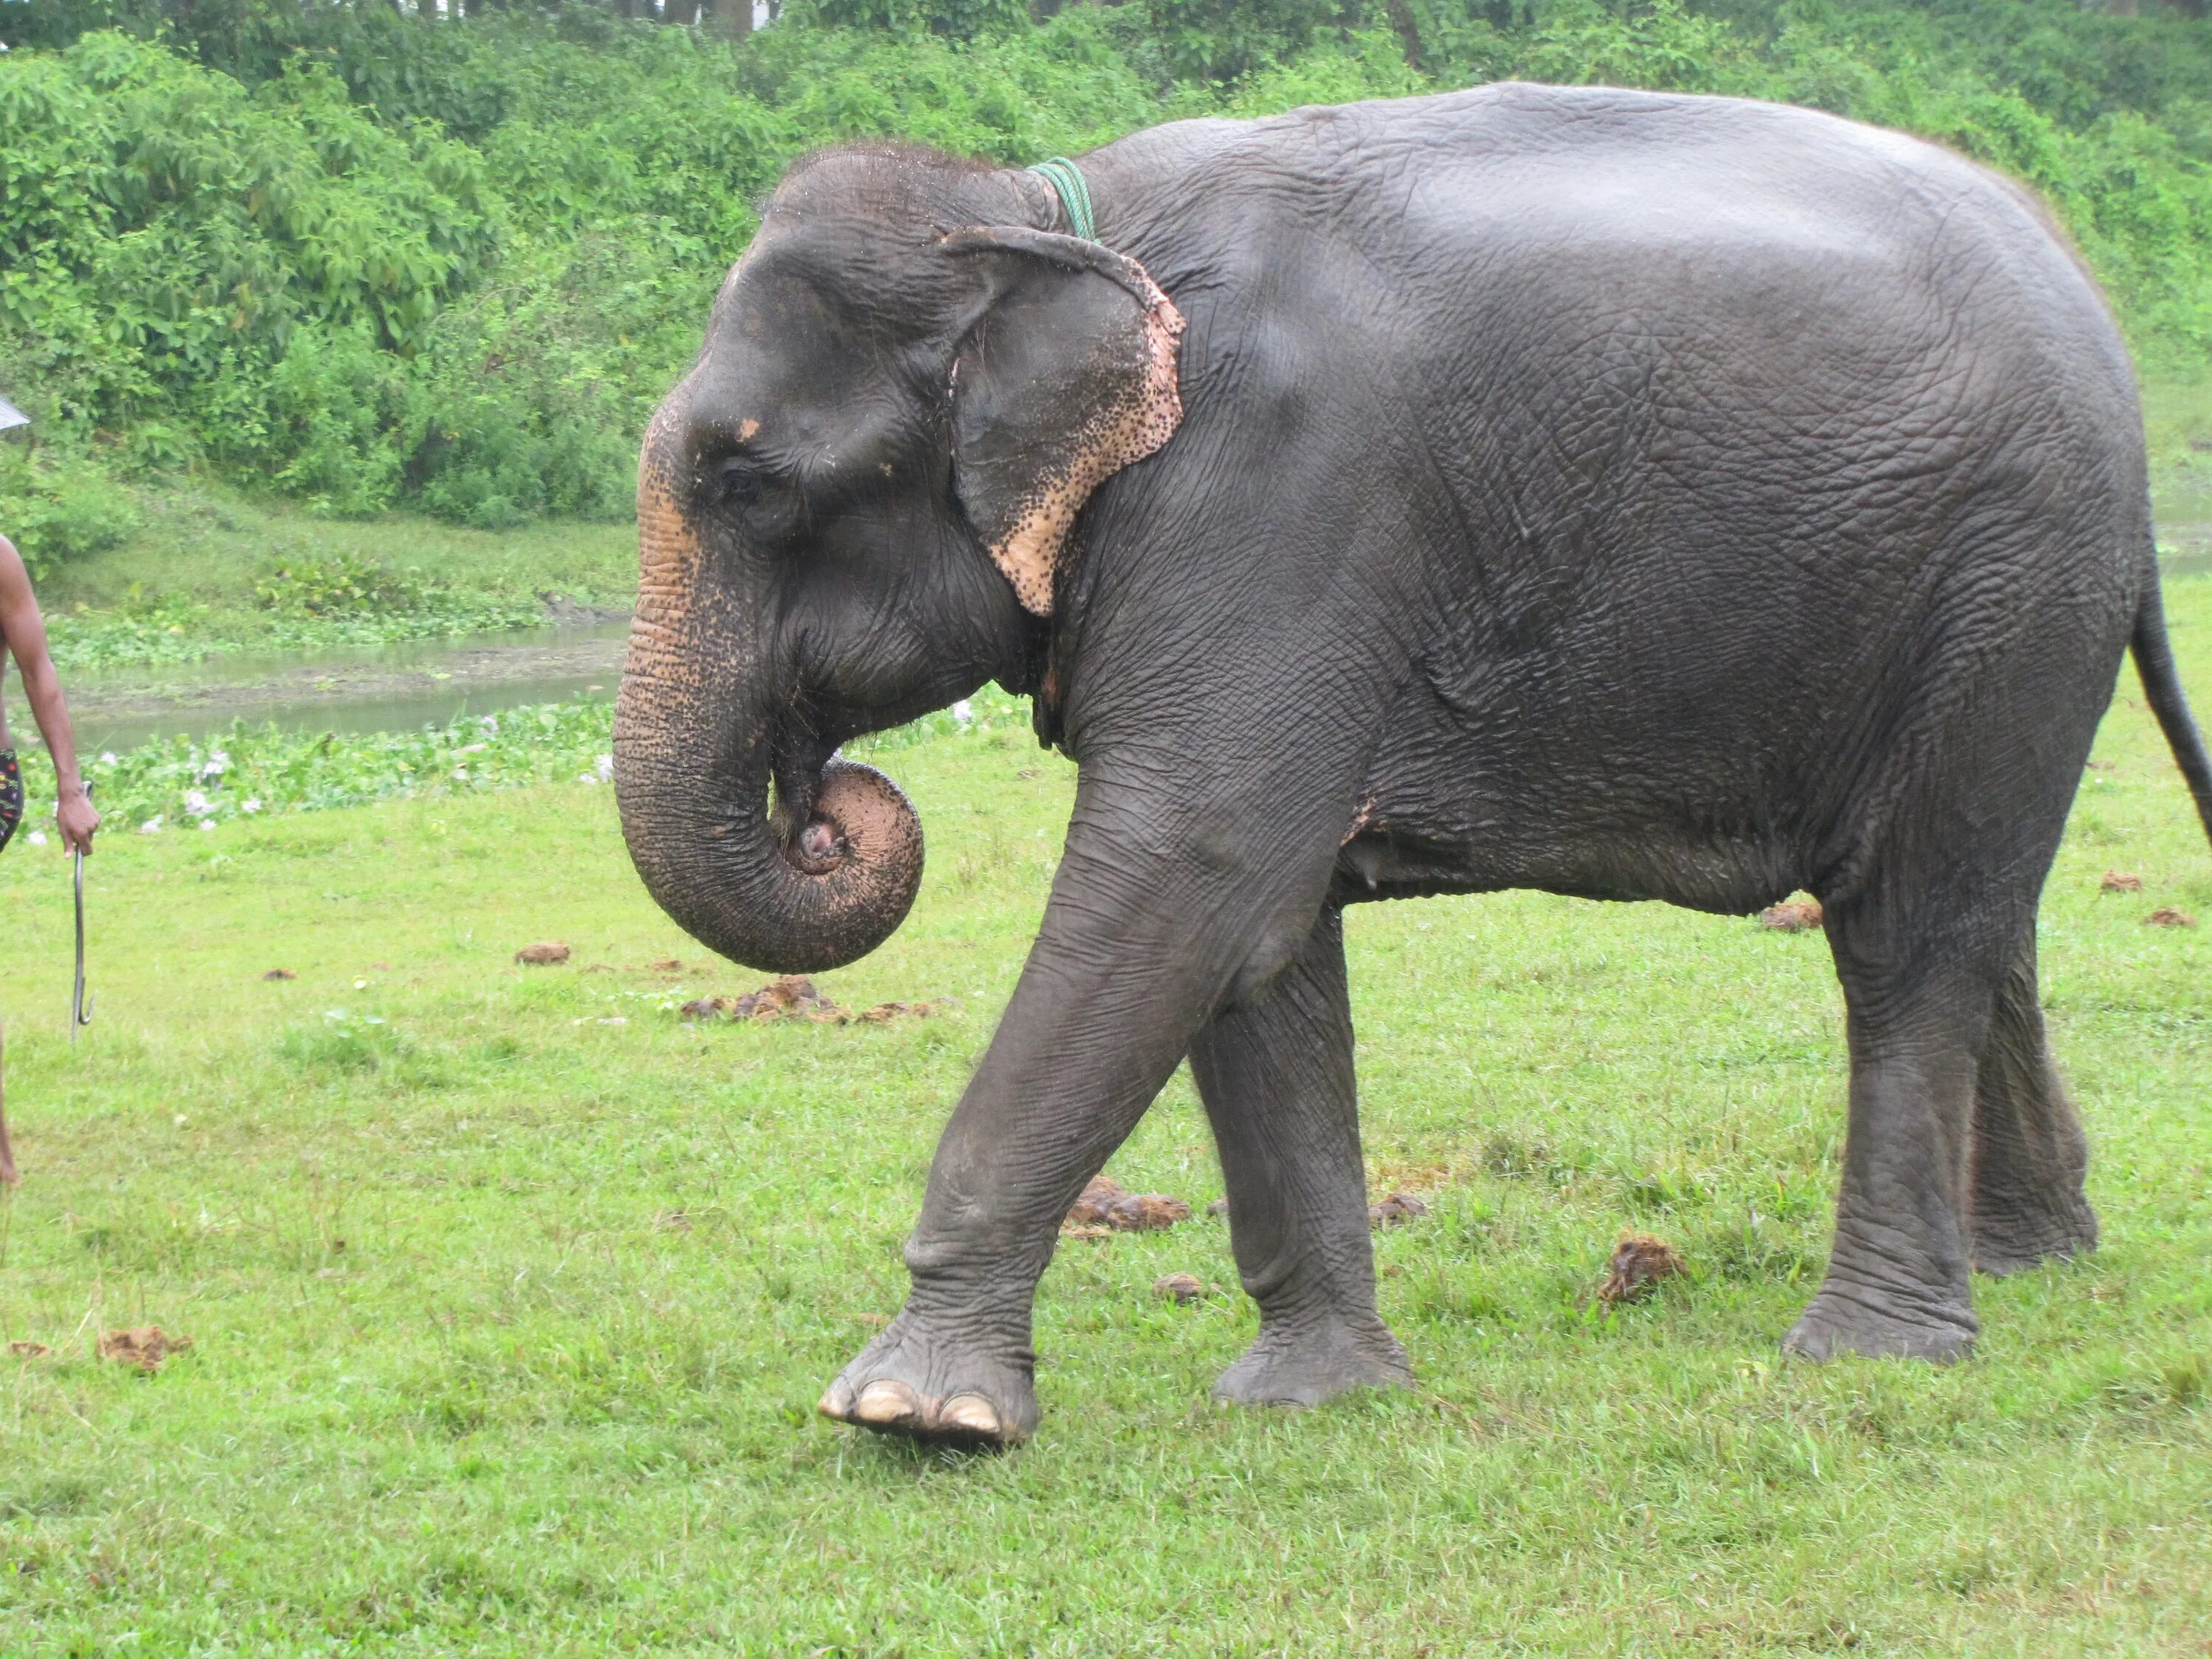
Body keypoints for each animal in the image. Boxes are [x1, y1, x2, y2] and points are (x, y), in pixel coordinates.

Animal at [615, 84, 2212, 1451]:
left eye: (746, 481)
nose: (825, 814)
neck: (1043, 214)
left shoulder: (1273, 497)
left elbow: (1195, 873)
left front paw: (913, 1415)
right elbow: (1259, 939)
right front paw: (1310, 1397)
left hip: (2007, 569)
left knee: (1906, 930)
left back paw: (1876, 1347)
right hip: (2001, 615)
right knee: (1986, 908)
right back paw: (2031, 1261)